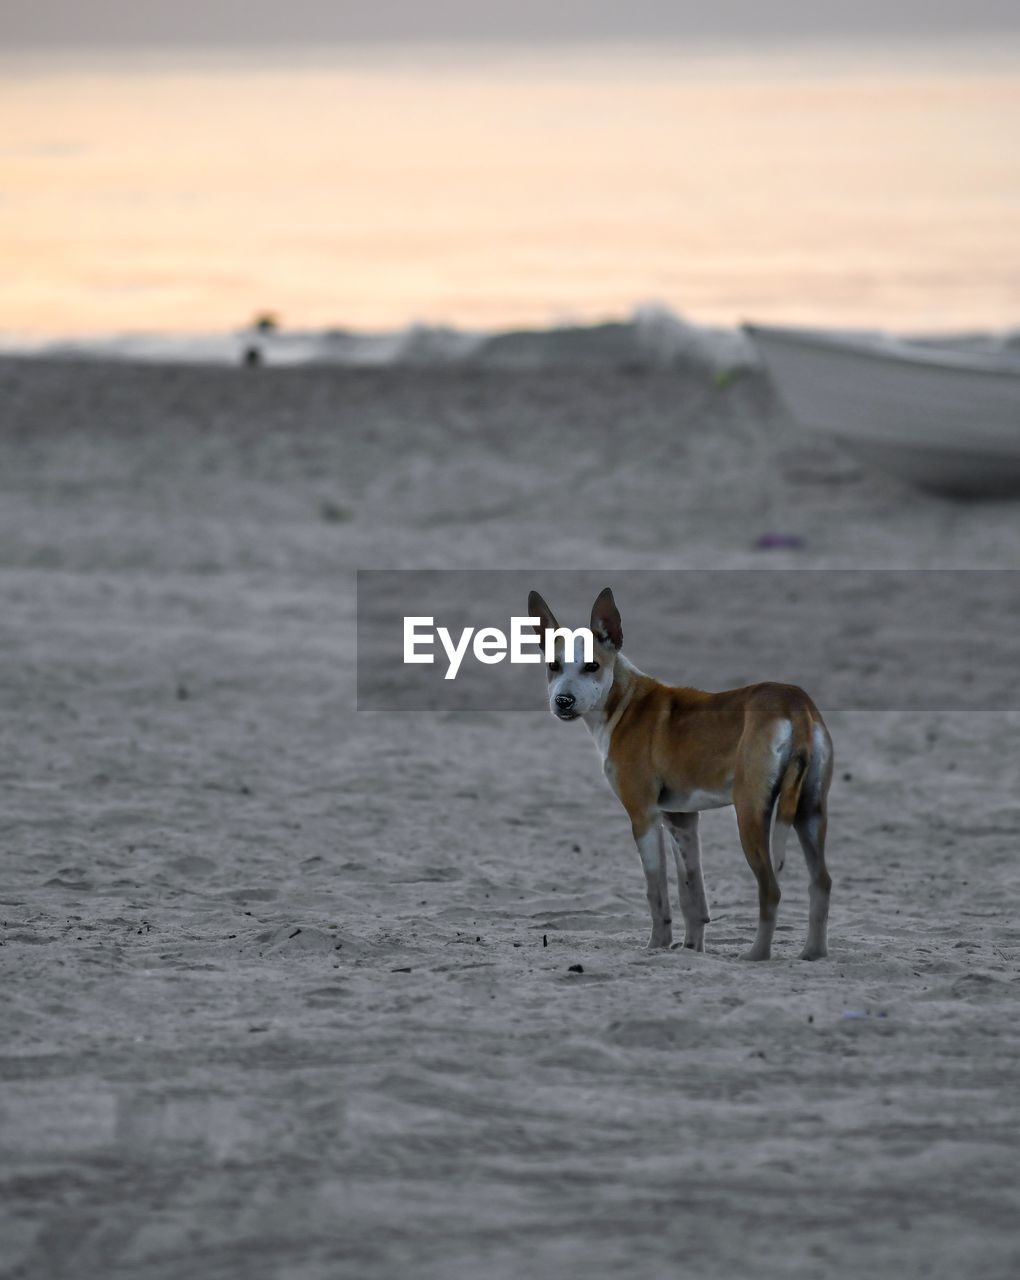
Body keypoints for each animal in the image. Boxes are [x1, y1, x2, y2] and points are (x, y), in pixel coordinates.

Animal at [529, 588, 829, 962]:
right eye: (553, 666)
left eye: (592, 666)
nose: (563, 701)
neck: (624, 703)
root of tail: (794, 703)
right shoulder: (681, 819)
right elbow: (692, 897)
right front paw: (691, 949)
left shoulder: (643, 816)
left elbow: (656, 891)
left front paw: (656, 945)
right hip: (810, 812)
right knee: (821, 883)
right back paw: (813, 953)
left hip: (751, 815)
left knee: (771, 889)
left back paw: (756, 955)